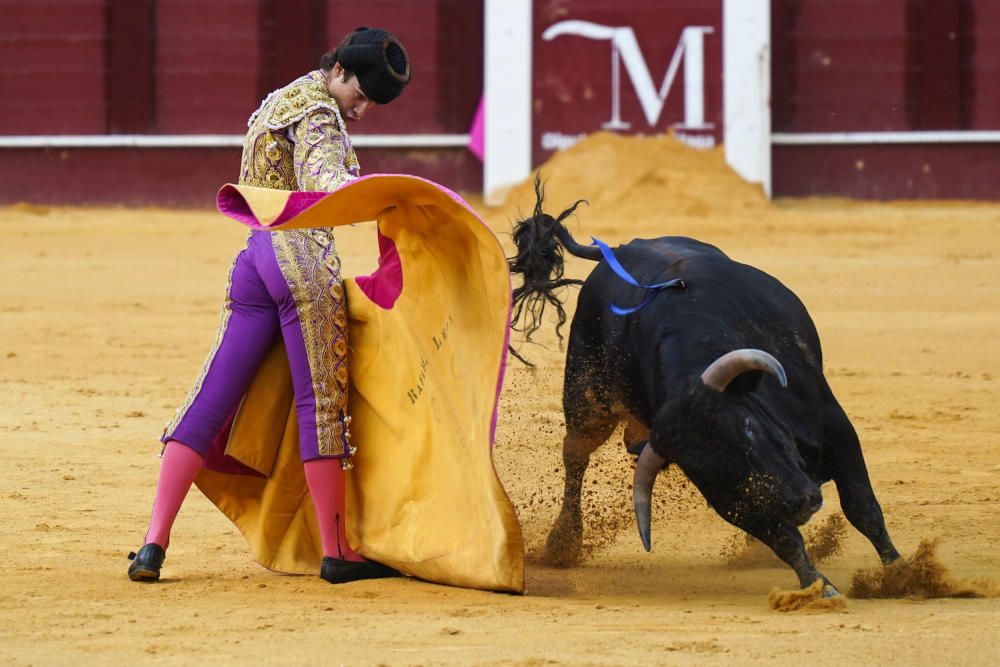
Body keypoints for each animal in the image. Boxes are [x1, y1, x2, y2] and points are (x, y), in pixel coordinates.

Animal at [512, 188, 904, 596]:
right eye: (707, 468)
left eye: (747, 426)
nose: (800, 503)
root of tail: (616, 250)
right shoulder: (729, 496)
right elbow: (784, 539)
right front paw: (818, 587)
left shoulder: (834, 425)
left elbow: (862, 507)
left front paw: (900, 572)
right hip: (588, 396)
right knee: (576, 453)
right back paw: (564, 542)